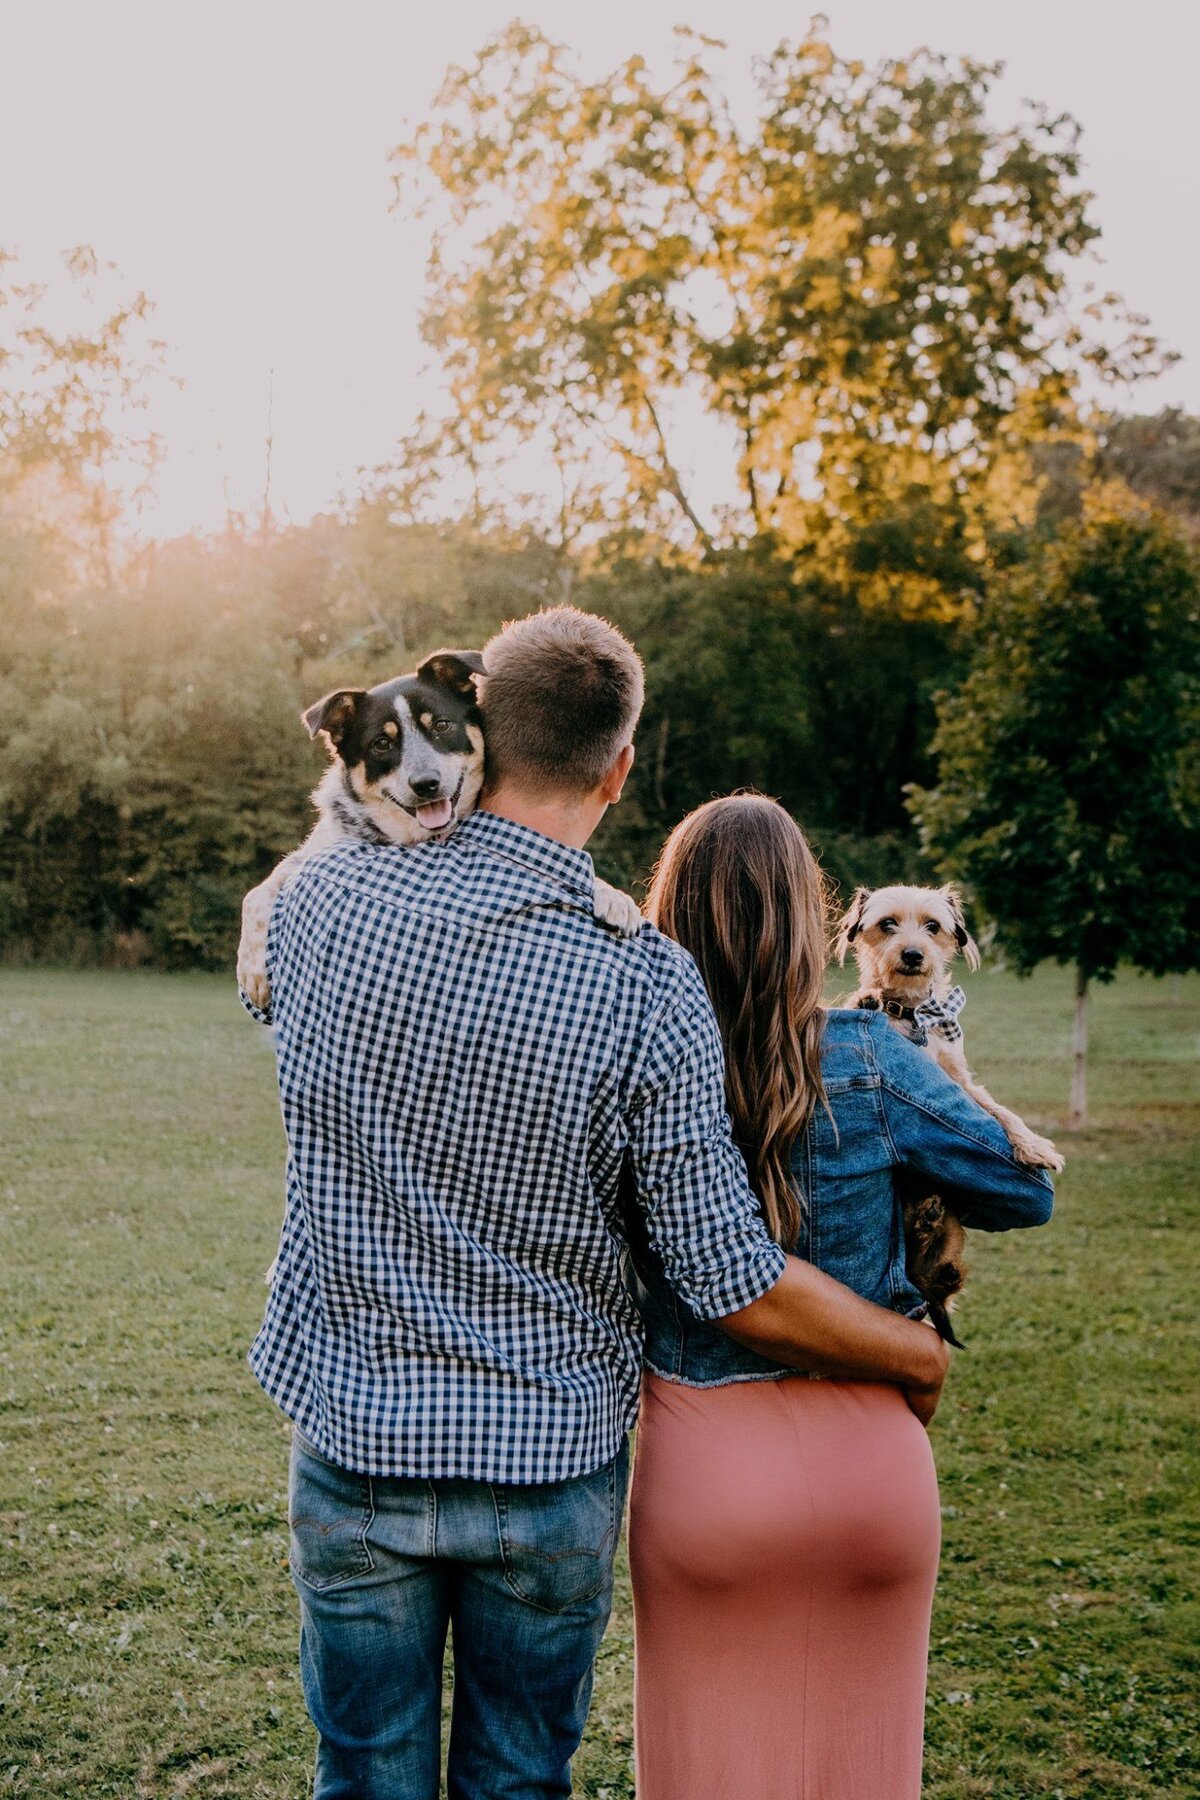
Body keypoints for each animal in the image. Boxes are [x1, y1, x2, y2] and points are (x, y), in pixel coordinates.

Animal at [237, 651, 644, 1015]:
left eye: (442, 725)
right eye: (381, 743)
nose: (425, 784)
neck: (421, 839)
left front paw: (615, 898)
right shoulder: (308, 856)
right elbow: (255, 896)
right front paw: (252, 973)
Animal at [834, 878, 1057, 1346]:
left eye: (932, 926)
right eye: (887, 924)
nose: (913, 954)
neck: (912, 1016)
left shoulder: (960, 1082)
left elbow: (998, 1110)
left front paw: (1035, 1145)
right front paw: (867, 998)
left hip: (950, 1236)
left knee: (941, 1275)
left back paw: (933, 1237)